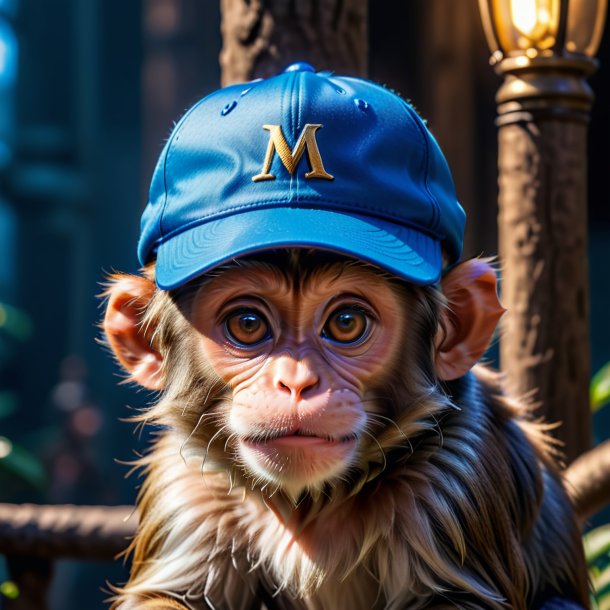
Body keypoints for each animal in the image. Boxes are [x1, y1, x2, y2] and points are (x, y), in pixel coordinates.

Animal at [101, 64, 588, 604]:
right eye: (248, 325)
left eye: (346, 323)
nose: (296, 383)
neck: (312, 502)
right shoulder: (186, 486)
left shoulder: (461, 469)